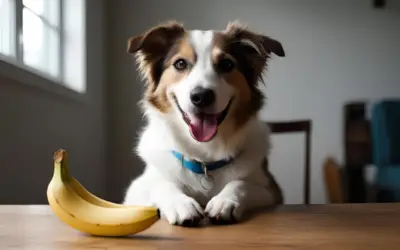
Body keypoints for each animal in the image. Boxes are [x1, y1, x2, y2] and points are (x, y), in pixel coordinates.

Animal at [122, 20, 284, 227]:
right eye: (180, 64)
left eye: (226, 64)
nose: (201, 96)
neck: (205, 158)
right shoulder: (136, 191)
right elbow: (161, 184)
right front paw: (181, 204)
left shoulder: (271, 191)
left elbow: (241, 183)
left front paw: (225, 201)